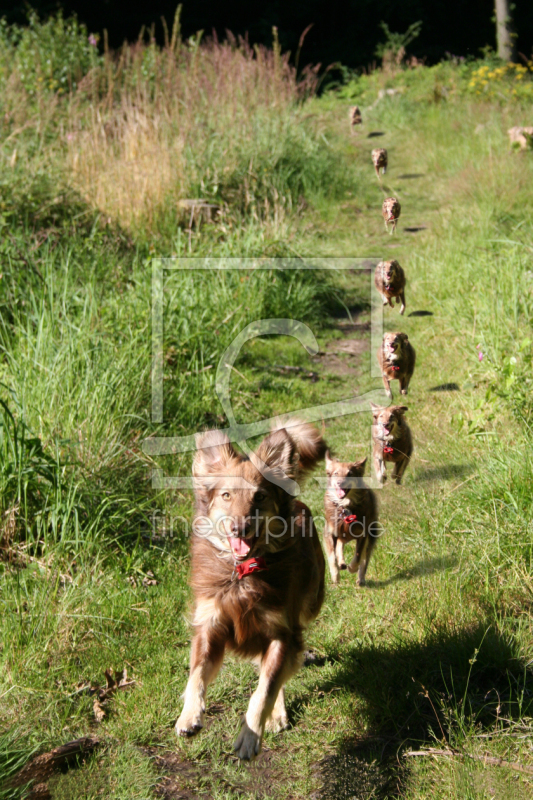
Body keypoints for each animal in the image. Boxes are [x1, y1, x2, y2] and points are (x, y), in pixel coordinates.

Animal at [176, 422, 324, 760]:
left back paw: (276, 714)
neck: (243, 576)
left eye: (259, 496)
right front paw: (189, 716)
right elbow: (196, 675)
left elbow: (264, 690)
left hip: (309, 605)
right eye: (226, 495)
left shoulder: (282, 633)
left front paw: (250, 735)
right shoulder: (210, 625)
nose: (238, 527)